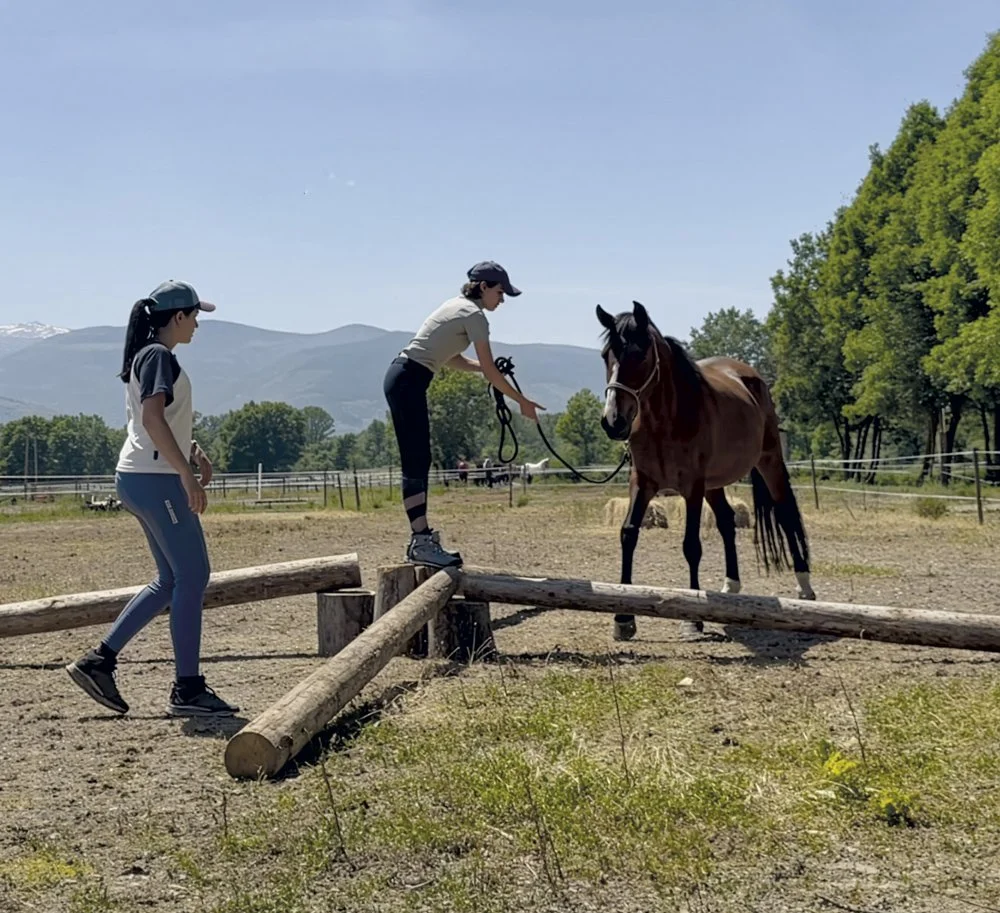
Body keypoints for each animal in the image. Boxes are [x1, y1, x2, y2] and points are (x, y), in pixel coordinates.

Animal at [596, 300, 816, 642]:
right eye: (606, 355)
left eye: (640, 354)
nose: (613, 421)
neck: (668, 420)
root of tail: (751, 376)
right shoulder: (642, 483)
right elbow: (628, 534)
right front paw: (623, 618)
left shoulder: (692, 487)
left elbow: (691, 546)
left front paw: (692, 618)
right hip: (715, 484)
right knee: (726, 521)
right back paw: (730, 586)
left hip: (769, 464)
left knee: (786, 514)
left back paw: (804, 586)